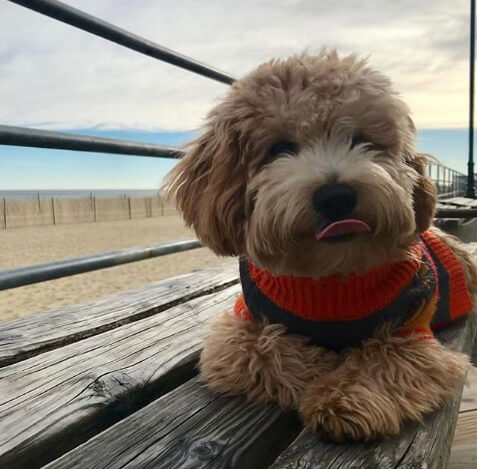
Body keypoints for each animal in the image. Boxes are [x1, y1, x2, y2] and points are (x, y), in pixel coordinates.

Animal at [164, 51, 476, 442]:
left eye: (362, 139)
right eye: (280, 148)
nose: (336, 196)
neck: (330, 279)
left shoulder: (417, 338)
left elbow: (386, 360)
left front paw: (341, 396)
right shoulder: (236, 330)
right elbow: (260, 349)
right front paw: (319, 364)